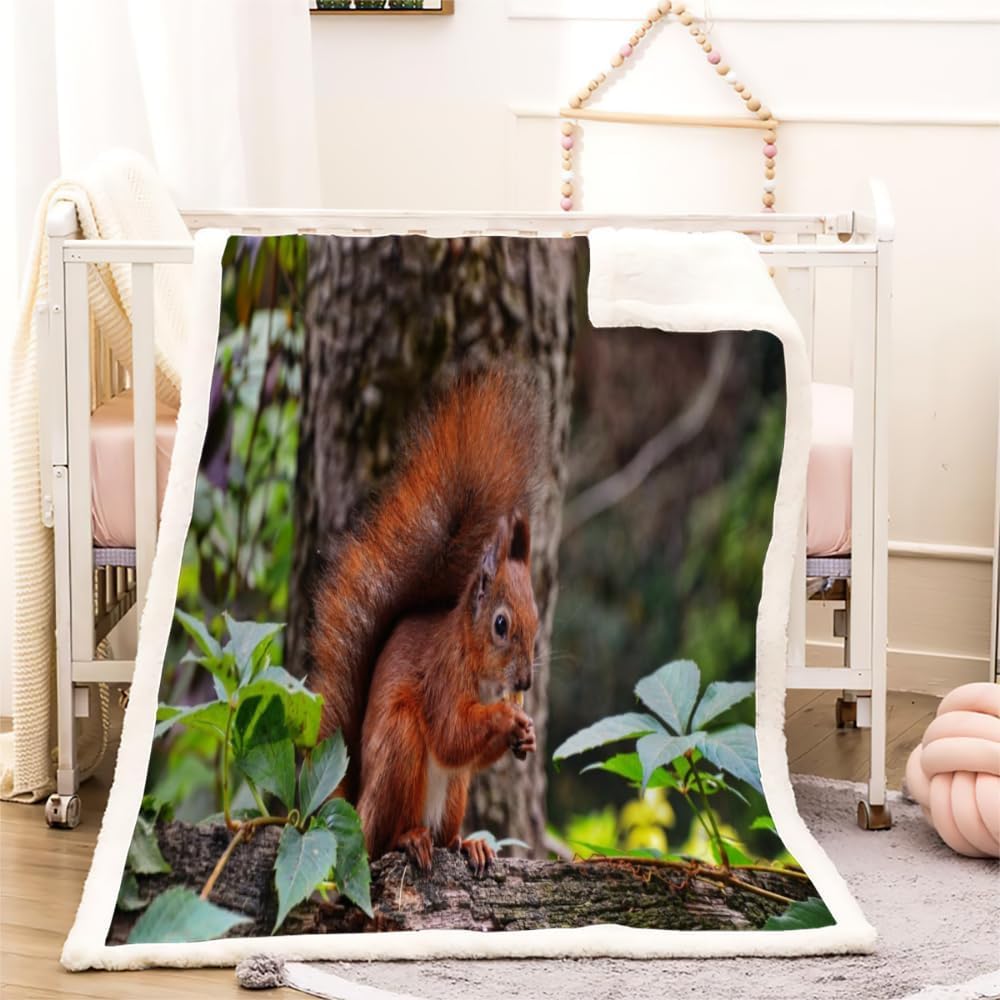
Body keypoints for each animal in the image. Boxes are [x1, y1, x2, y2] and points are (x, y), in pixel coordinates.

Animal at [309, 368, 544, 873]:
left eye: (536, 621)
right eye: (500, 625)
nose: (525, 684)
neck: (473, 661)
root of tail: (359, 808)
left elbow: (468, 753)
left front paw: (527, 735)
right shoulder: (440, 675)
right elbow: (452, 734)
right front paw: (506, 717)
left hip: (455, 792)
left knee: (447, 825)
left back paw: (466, 844)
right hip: (400, 747)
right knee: (383, 839)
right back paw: (409, 839)